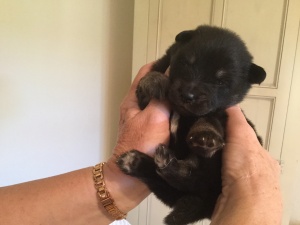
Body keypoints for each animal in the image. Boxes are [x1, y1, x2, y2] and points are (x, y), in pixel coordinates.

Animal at [116, 25, 264, 224]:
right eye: (187, 63)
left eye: (221, 81)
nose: (188, 96)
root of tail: (205, 205)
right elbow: (149, 82)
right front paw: (155, 81)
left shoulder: (219, 112)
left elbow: (209, 119)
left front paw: (206, 137)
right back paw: (138, 162)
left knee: (192, 177)